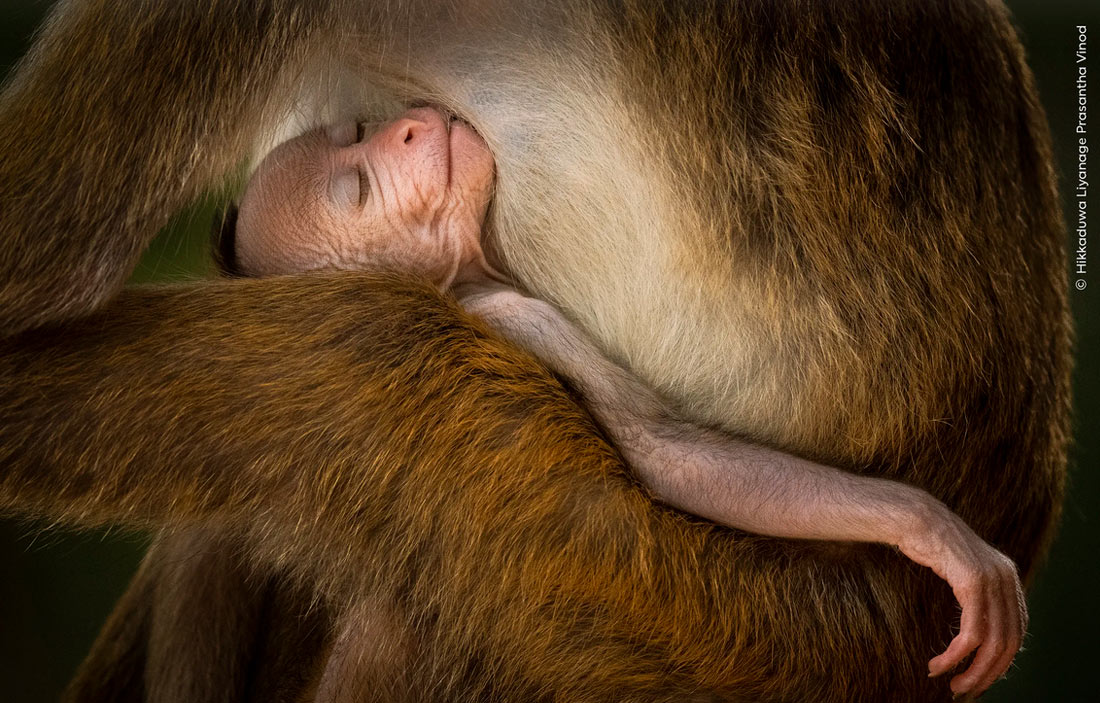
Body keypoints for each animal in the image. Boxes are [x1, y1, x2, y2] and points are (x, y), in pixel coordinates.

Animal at [229, 107, 1020, 695]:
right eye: (360, 191)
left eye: (356, 135)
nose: (406, 129)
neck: (464, 282)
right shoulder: (524, 316)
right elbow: (662, 455)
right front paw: (928, 529)